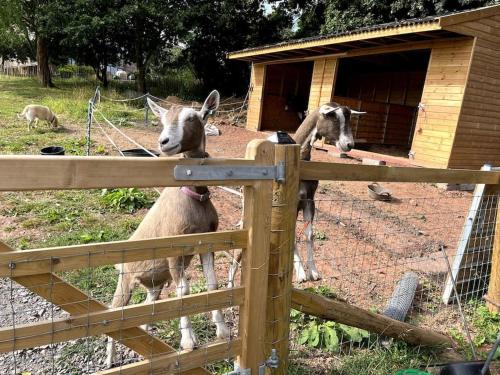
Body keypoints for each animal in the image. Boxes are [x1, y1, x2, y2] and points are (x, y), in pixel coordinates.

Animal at [107, 92, 230, 370]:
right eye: (161, 120)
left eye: (194, 117)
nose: (164, 142)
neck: (193, 197)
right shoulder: (175, 250)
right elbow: (183, 291)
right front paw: (188, 341)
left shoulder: (207, 243)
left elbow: (213, 284)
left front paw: (223, 331)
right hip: (126, 280)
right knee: (114, 310)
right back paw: (109, 359)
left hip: (154, 284)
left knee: (146, 306)